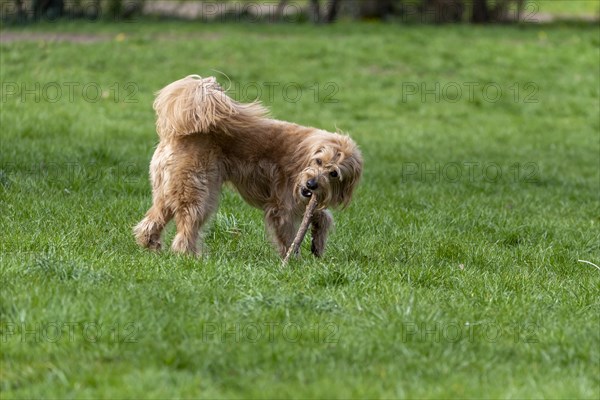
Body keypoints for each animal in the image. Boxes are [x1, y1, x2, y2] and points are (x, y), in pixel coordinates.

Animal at [134, 74, 364, 256]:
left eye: (334, 173)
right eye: (318, 161)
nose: (312, 184)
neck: (303, 157)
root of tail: (177, 134)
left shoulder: (304, 200)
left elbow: (324, 216)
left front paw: (318, 244)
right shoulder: (282, 208)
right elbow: (290, 239)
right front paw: (293, 261)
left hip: (168, 191)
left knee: (151, 221)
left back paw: (151, 244)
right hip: (199, 195)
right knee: (186, 230)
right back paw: (191, 256)